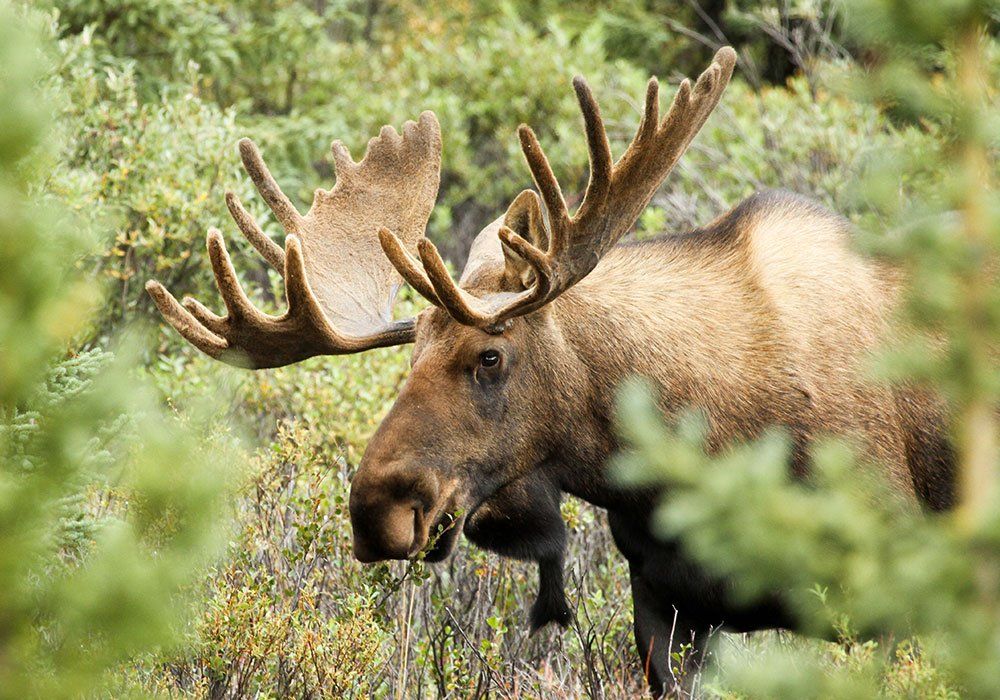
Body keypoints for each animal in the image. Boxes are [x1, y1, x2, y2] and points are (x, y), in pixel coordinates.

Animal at [146, 47, 956, 695]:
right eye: (408, 358)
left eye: (490, 355)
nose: (376, 509)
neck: (695, 446)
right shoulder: (667, 604)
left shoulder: (888, 591)